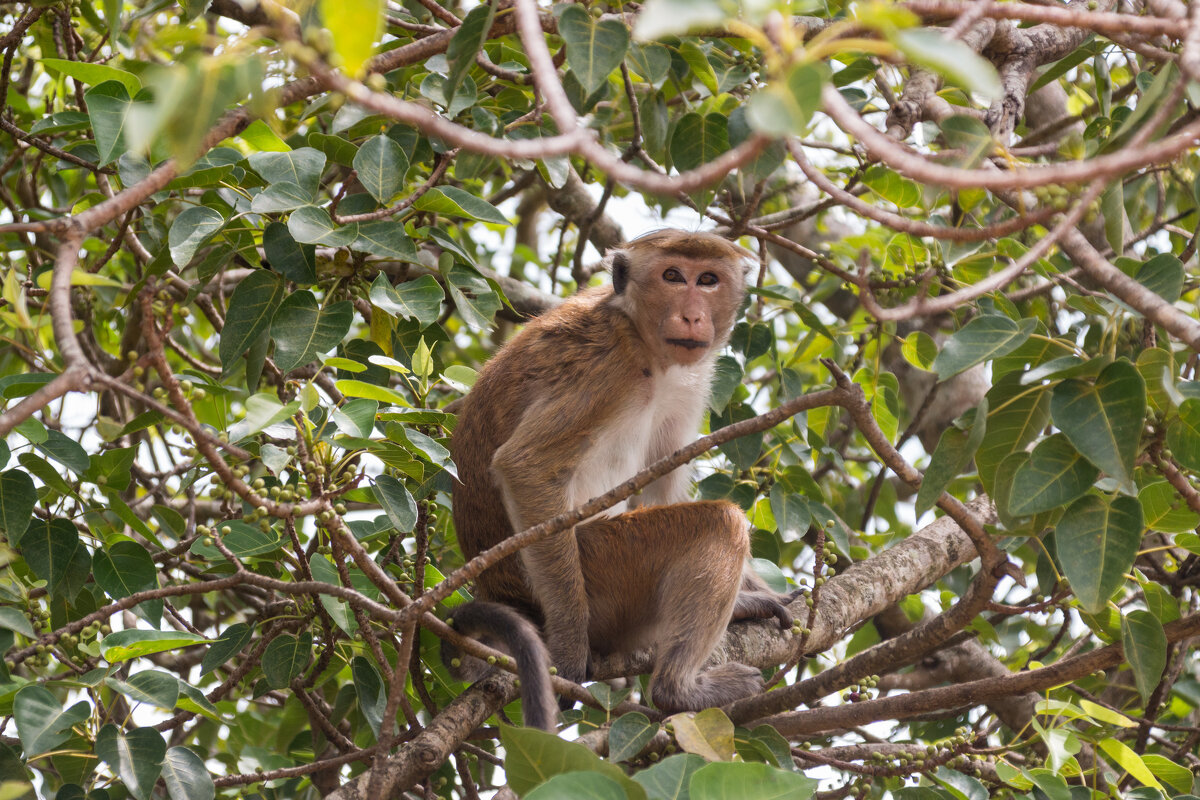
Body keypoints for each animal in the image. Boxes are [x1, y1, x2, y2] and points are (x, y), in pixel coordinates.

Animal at [441, 227, 796, 729]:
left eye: (707, 280)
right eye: (673, 276)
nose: (692, 315)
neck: (641, 337)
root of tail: (504, 592)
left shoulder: (688, 383)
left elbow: (662, 483)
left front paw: (751, 597)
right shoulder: (607, 367)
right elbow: (525, 465)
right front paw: (569, 648)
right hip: (602, 570)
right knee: (719, 523)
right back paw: (677, 690)